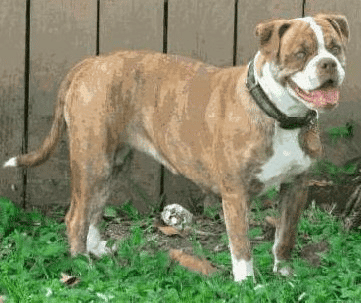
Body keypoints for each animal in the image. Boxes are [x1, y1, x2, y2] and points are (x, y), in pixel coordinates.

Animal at [2, 14, 346, 284]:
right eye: (300, 53)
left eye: (336, 48)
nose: (328, 64)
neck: (278, 114)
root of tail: (91, 63)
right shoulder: (235, 194)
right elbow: (241, 246)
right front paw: (248, 284)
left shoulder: (296, 186)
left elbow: (285, 237)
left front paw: (284, 275)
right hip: (92, 161)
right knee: (76, 217)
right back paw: (80, 265)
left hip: (111, 164)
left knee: (94, 210)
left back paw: (96, 251)